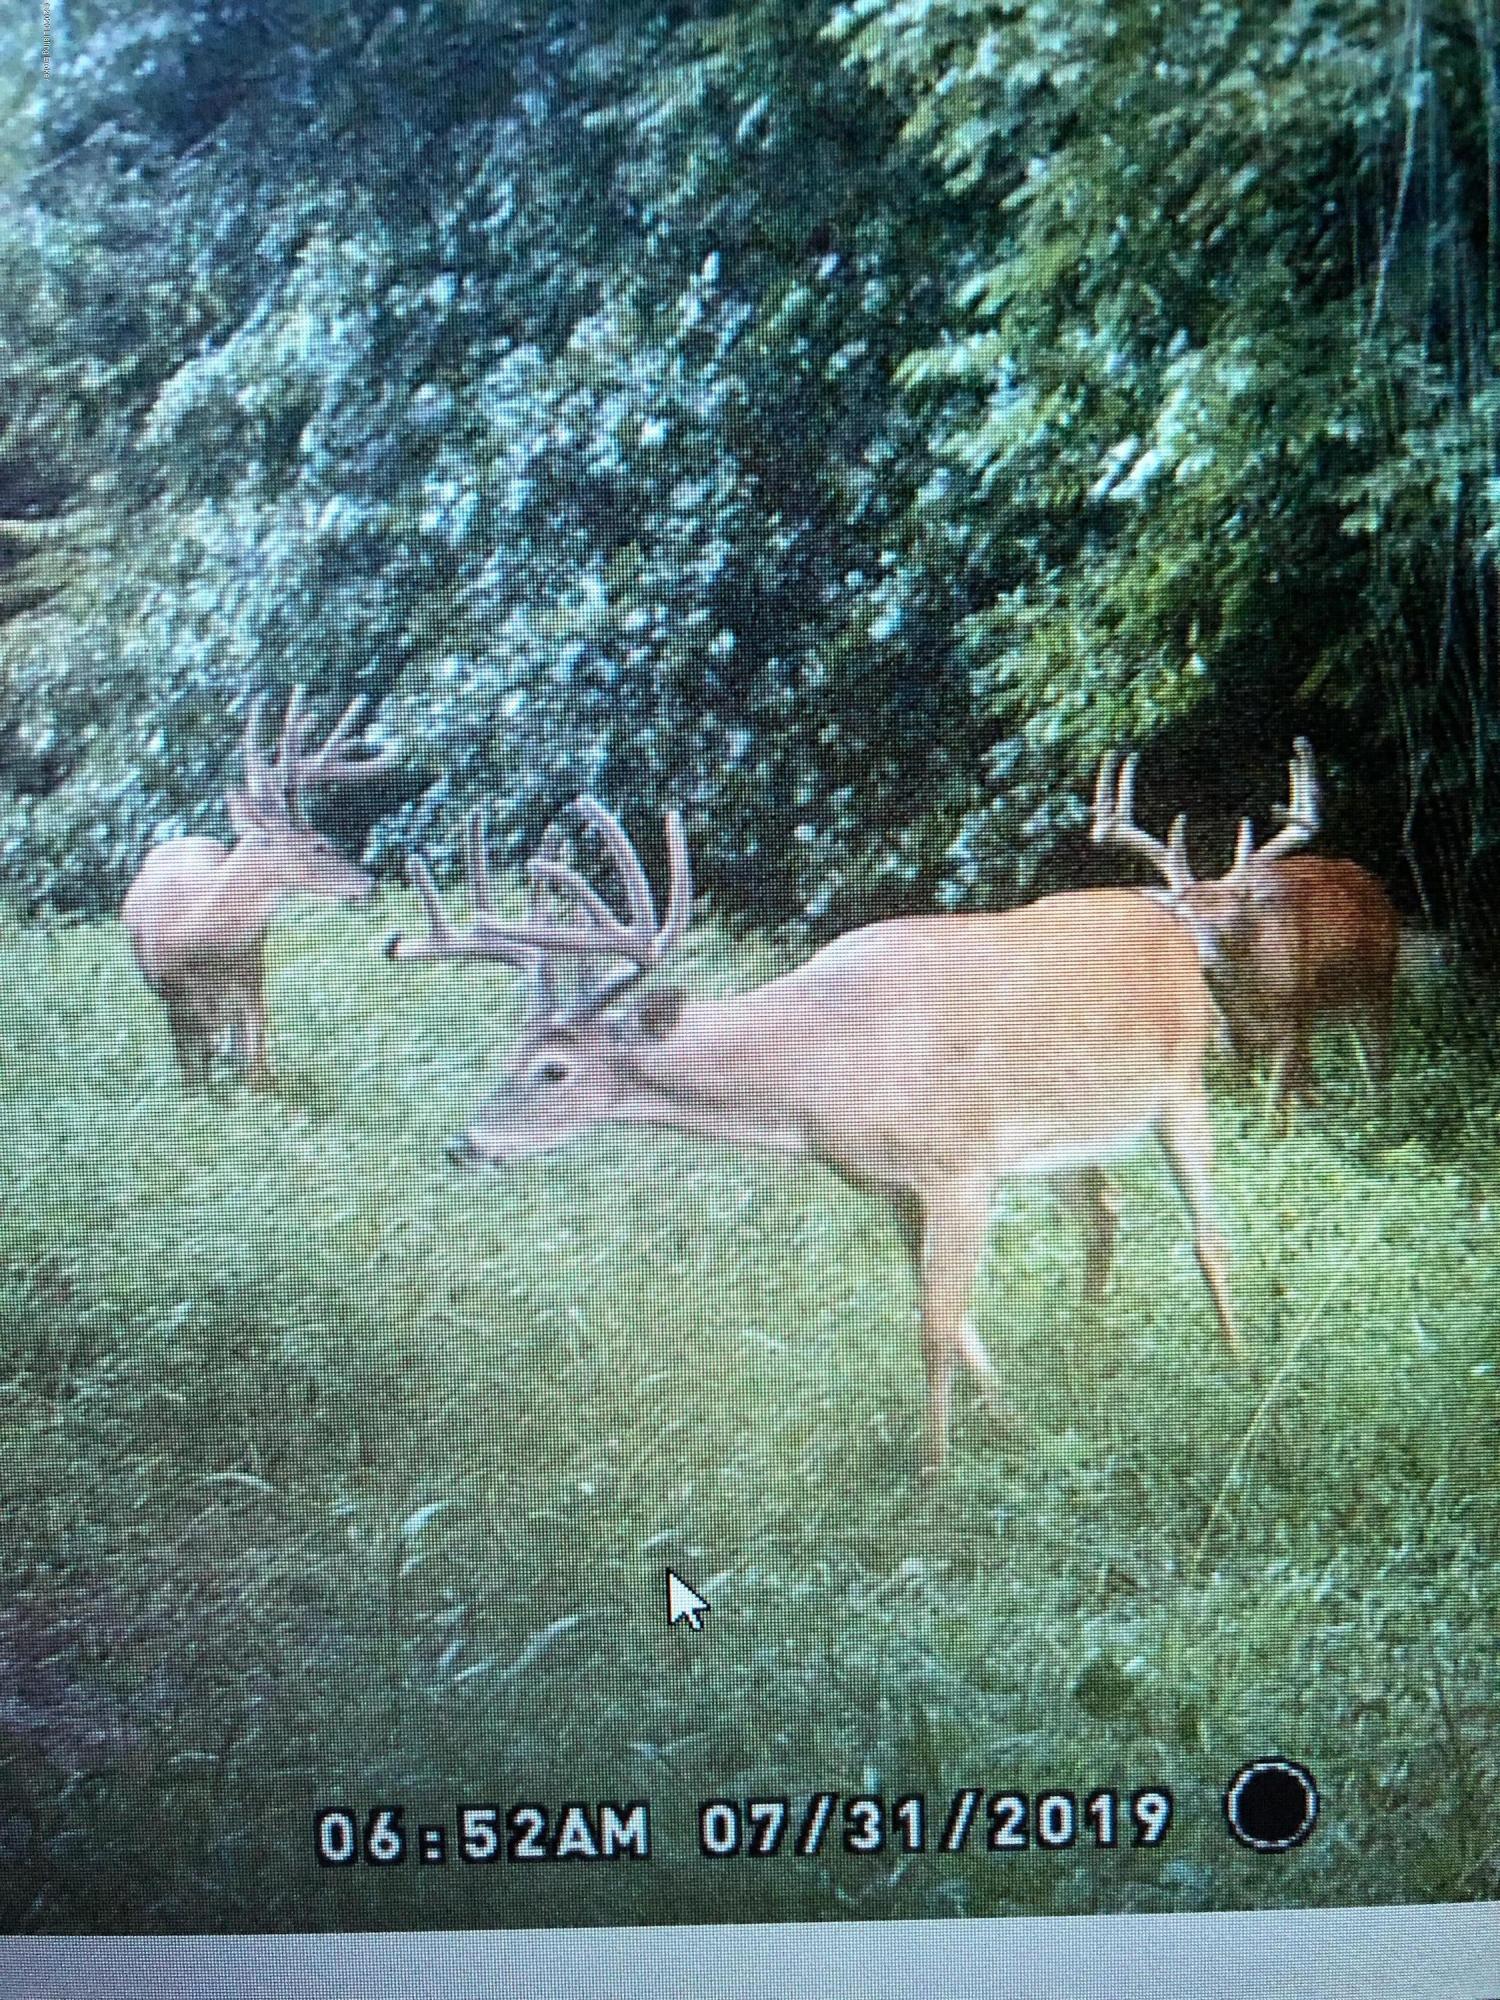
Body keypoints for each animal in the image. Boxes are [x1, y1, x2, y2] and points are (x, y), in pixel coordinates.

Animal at [122, 688, 396, 1088]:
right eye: (320, 844)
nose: (368, 884)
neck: (195, 934)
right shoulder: (172, 997)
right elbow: (194, 1075)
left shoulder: (251, 978)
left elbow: (257, 1068)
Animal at [383, 796, 1240, 1475]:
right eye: (507, 1054)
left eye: (554, 1069)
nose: (465, 1144)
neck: (824, 1068)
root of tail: (1170, 922)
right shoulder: (897, 1184)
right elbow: (950, 1319)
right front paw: (1010, 1426)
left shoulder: (961, 1163)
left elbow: (934, 1329)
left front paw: (935, 1486)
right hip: (1072, 1136)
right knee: (1106, 1217)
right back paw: (1086, 1356)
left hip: (1184, 1080)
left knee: (1207, 1235)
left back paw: (1238, 1368)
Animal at [1092, 738, 1401, 1109]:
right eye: (1181, 919)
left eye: (1234, 918)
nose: (1204, 961)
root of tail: (1367, 878)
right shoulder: (1223, 1039)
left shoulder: (1290, 1018)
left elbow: (1272, 1103)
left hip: (1379, 977)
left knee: (1378, 1052)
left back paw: (1378, 1106)